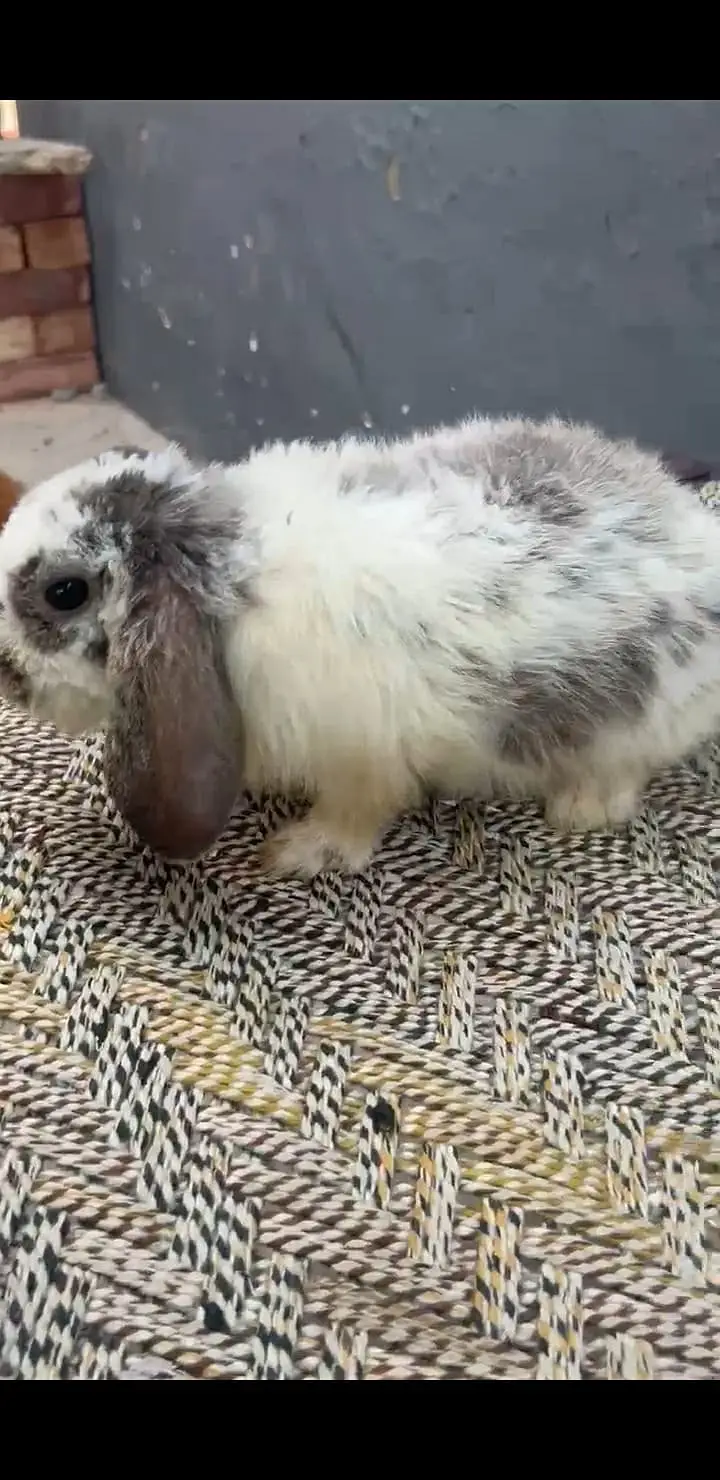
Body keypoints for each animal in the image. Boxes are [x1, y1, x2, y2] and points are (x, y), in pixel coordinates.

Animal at [0, 416, 719, 878]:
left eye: (64, 592)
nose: (7, 672)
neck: (232, 578)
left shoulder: (366, 755)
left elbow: (359, 811)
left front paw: (299, 854)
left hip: (636, 721)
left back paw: (580, 808)